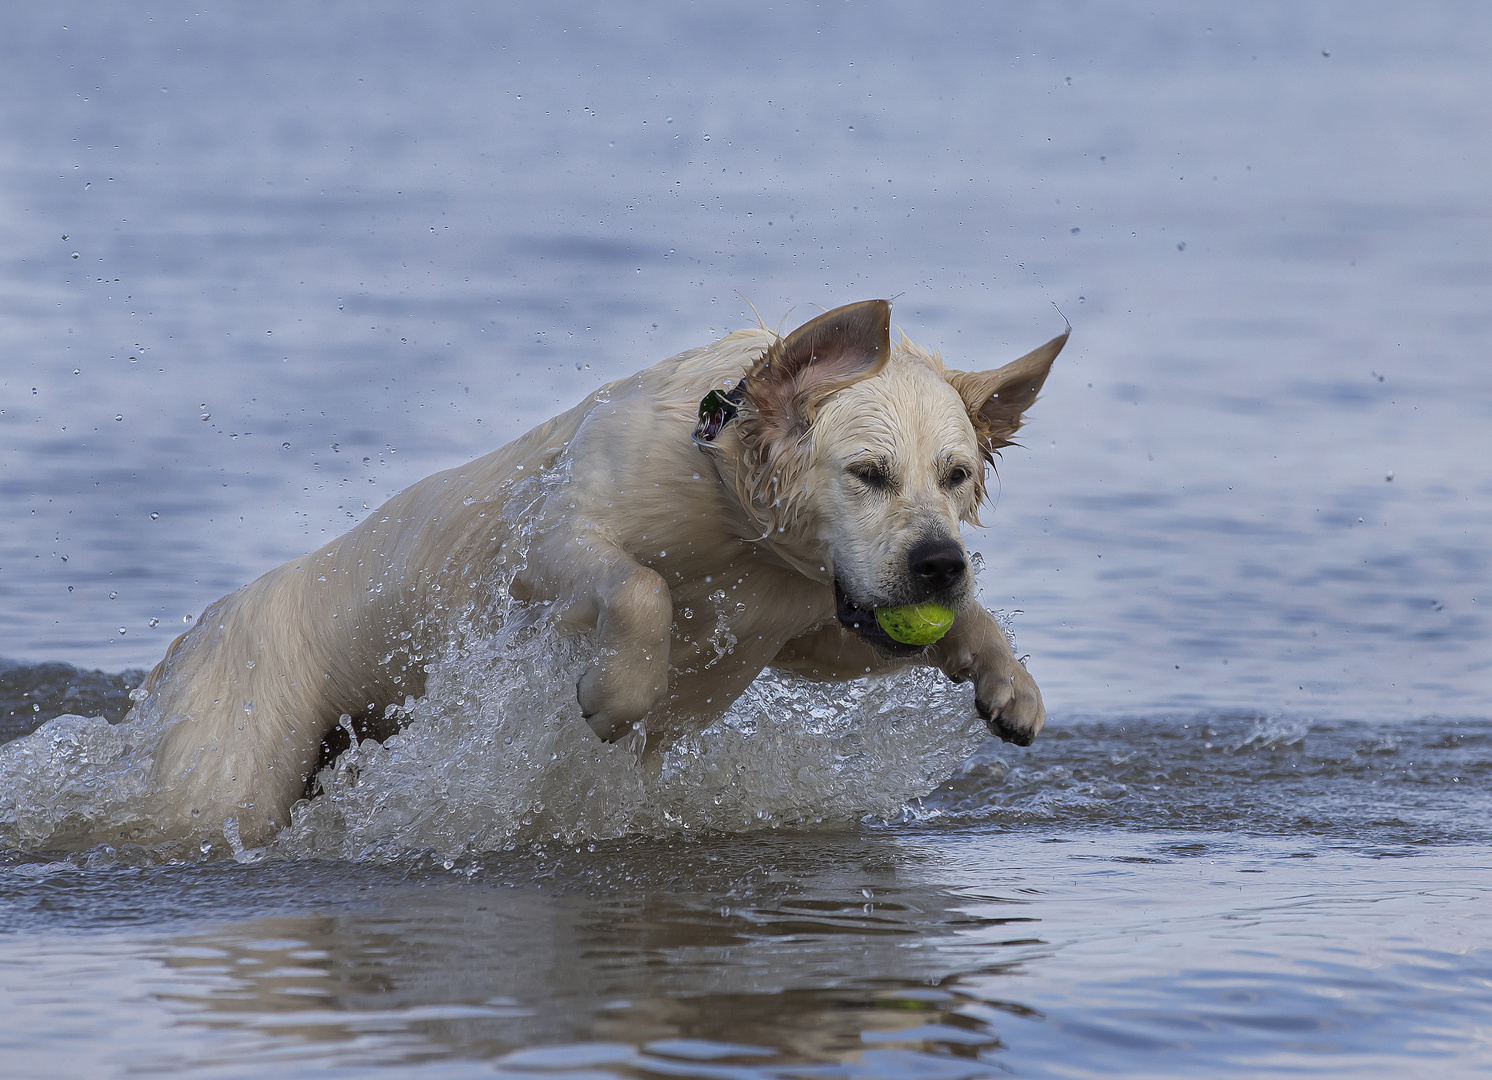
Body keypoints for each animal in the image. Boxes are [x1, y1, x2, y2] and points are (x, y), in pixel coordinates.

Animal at [131, 299, 1062, 847]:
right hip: (230, 765)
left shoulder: (803, 625)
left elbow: (935, 629)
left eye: (956, 476)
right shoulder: (550, 545)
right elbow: (640, 589)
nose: (942, 564)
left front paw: (1007, 683)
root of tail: (200, 628)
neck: (734, 525)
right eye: (868, 473)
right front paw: (616, 694)